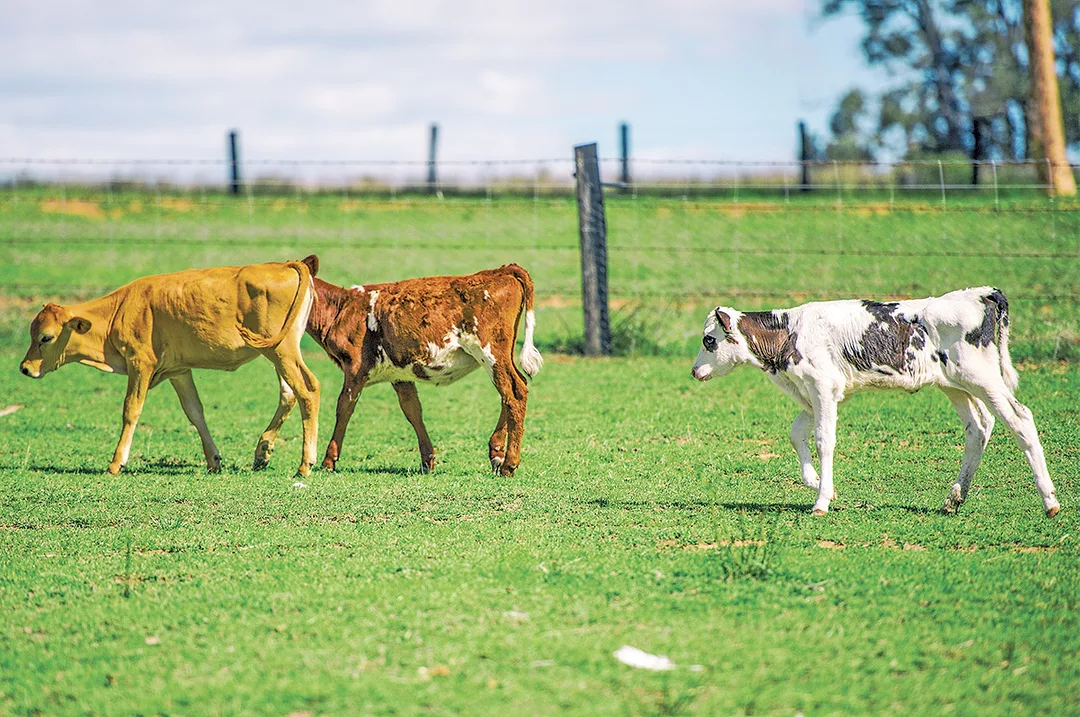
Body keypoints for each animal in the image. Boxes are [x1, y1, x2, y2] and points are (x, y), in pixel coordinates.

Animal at [19, 256, 322, 477]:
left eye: (46, 337)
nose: (25, 368)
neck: (120, 310)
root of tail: (284, 265)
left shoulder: (140, 364)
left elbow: (131, 410)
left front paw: (116, 463)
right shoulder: (179, 371)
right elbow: (195, 412)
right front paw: (213, 460)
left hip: (281, 352)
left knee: (307, 390)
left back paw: (305, 464)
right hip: (278, 353)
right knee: (289, 394)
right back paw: (262, 452)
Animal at [305, 264, 543, 475]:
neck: (341, 308)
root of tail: (500, 271)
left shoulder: (354, 369)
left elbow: (344, 408)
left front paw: (328, 461)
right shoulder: (399, 375)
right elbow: (412, 410)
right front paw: (427, 460)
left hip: (491, 353)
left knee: (514, 393)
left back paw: (509, 464)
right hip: (502, 356)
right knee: (511, 390)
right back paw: (497, 453)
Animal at [690, 287, 1060, 518]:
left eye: (709, 340)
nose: (694, 371)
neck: (789, 333)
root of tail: (975, 293)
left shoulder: (823, 387)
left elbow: (824, 440)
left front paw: (821, 501)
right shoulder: (819, 393)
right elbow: (796, 434)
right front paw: (815, 483)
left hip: (983, 378)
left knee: (1020, 419)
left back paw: (1049, 502)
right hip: (956, 386)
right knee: (979, 428)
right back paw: (954, 499)